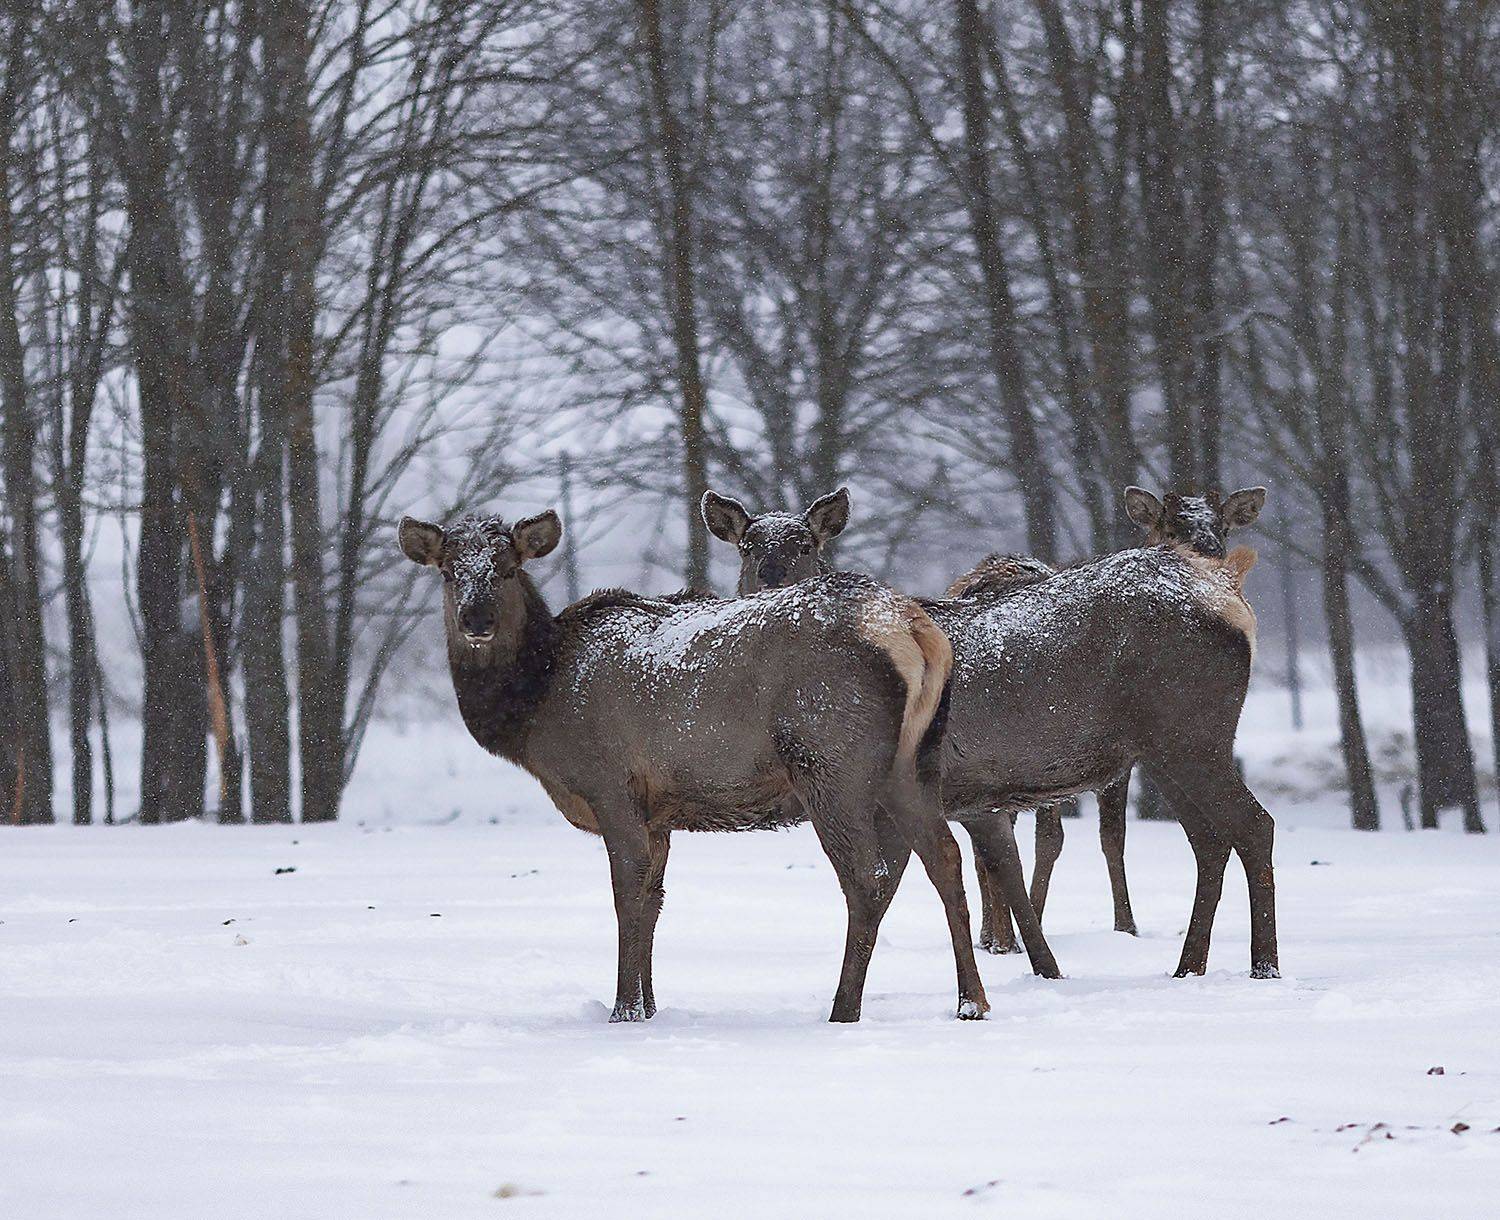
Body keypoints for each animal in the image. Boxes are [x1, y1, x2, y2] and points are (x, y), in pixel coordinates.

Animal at [398, 508, 989, 1023]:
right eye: (449, 571)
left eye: (507, 567)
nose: (477, 620)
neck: (536, 704)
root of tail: (912, 628)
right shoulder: (658, 812)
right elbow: (654, 901)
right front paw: (651, 1006)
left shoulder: (611, 786)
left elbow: (627, 896)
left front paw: (623, 1010)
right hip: (914, 763)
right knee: (944, 855)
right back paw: (971, 1002)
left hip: (829, 759)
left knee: (869, 877)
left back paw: (843, 1009)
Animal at [703, 484, 1278, 981]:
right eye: (747, 548)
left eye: (805, 544)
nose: (772, 583)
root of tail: (1227, 592)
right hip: (1166, 747)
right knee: (1210, 840)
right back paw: (1188, 966)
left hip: (1192, 731)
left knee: (1254, 825)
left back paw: (1263, 966)